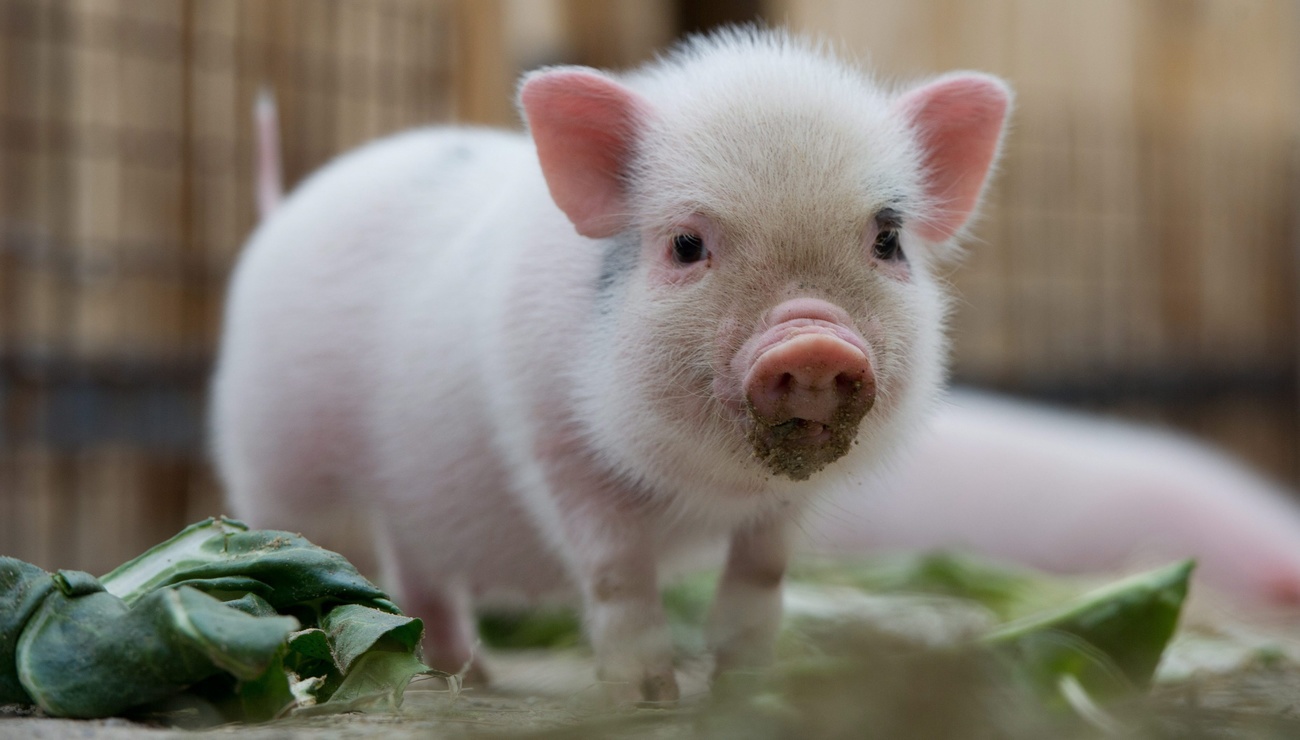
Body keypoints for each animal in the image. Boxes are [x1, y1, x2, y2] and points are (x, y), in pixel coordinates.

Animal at [211, 28, 1011, 702]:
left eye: (888, 240)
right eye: (686, 244)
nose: (813, 339)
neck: (709, 484)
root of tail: (282, 211)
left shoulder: (788, 503)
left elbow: (761, 572)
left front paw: (744, 686)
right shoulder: (555, 442)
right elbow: (615, 570)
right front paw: (648, 694)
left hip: (405, 498)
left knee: (418, 570)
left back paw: (470, 676)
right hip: (272, 458)